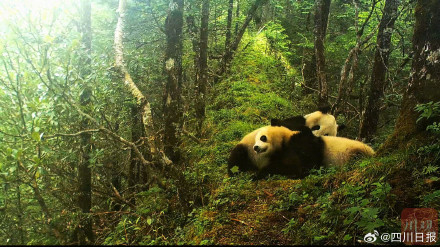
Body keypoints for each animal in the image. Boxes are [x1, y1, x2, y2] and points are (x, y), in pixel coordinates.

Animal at [227, 124, 374, 178]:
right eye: (256, 140)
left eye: (263, 138)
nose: (256, 147)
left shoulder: (301, 143)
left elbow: (294, 165)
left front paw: (259, 174)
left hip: (353, 152)